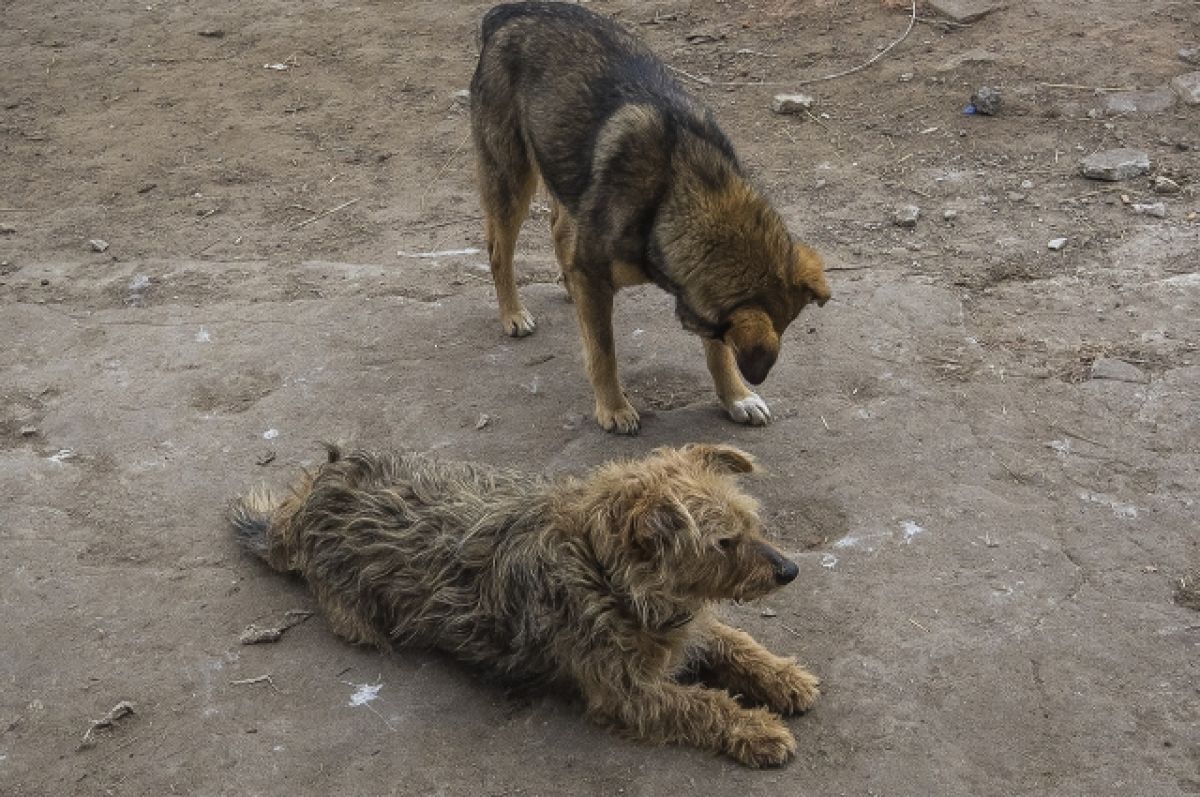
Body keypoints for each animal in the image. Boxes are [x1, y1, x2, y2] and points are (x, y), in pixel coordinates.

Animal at [229, 444, 820, 763]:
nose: (790, 572)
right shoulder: (627, 692)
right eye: (724, 542)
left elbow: (737, 641)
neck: (605, 573)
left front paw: (784, 677)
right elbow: (701, 705)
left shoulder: (685, 625)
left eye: (750, 524)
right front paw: (758, 729)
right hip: (357, 617)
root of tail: (309, 497)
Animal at [472, 1, 830, 436]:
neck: (672, 193)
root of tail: (508, 12)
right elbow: (603, 351)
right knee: (498, 251)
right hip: (511, 176)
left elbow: (716, 353)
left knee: (559, 231)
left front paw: (736, 397)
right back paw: (512, 314)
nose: (757, 376)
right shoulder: (596, 271)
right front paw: (613, 408)